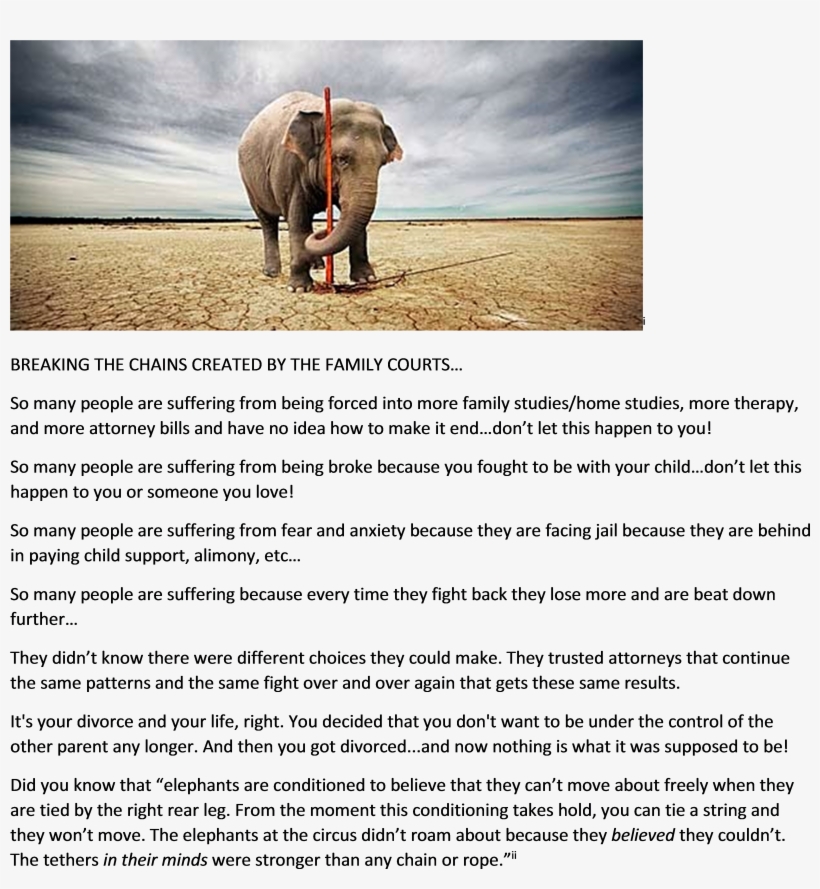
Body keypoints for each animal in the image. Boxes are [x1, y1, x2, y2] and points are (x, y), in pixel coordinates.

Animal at [238, 91, 402, 292]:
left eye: (382, 162)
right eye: (341, 159)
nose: (324, 231)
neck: (321, 111)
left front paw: (366, 279)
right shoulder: (287, 165)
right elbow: (298, 219)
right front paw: (299, 289)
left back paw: (318, 266)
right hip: (250, 183)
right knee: (268, 221)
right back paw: (272, 273)